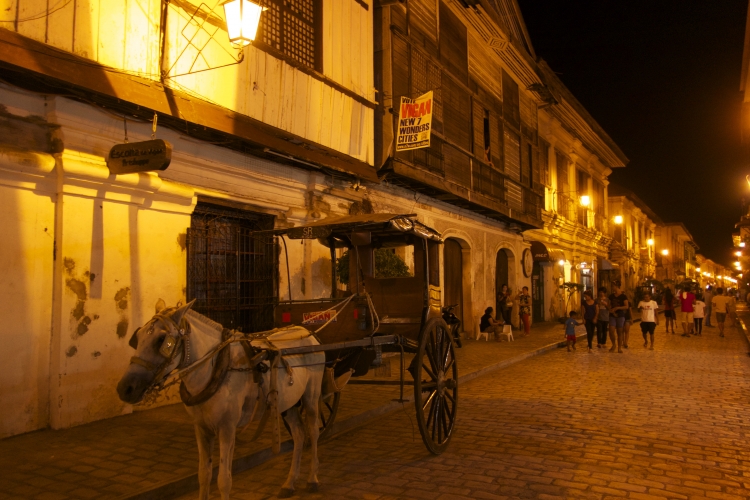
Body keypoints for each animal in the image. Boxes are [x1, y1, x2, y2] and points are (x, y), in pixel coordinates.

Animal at [117, 298, 326, 498]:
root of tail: (308, 333)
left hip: (311, 397)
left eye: (161, 339)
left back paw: (313, 479)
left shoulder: (227, 427)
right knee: (299, 434)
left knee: (313, 431)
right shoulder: (201, 428)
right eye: (138, 337)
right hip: (288, 404)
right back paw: (289, 483)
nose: (125, 389)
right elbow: (204, 474)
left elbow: (224, 480)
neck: (215, 367)